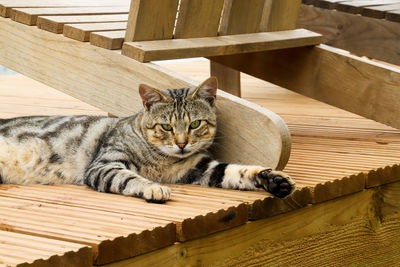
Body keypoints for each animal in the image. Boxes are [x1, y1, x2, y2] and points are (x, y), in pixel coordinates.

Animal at [0, 77, 296, 203]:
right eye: (166, 126)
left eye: (195, 124)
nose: (181, 143)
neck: (163, 162)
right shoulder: (105, 164)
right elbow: (129, 178)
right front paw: (154, 188)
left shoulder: (201, 168)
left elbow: (237, 171)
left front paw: (272, 179)